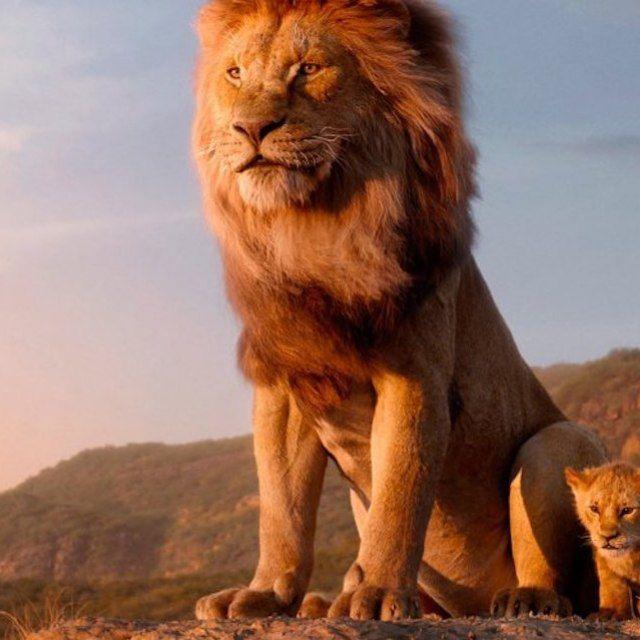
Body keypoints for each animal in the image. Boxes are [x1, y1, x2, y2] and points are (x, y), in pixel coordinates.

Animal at [192, 0, 607, 621]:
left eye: (309, 68)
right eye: (235, 74)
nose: (251, 129)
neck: (310, 229)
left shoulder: (415, 377)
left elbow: (400, 494)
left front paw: (380, 593)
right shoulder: (284, 386)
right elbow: (281, 510)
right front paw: (264, 594)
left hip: (558, 444)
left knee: (556, 568)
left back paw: (526, 598)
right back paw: (324, 602)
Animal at [566, 463, 640, 620]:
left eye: (627, 510)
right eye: (594, 508)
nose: (608, 537)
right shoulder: (602, 557)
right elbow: (611, 583)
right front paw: (610, 612)